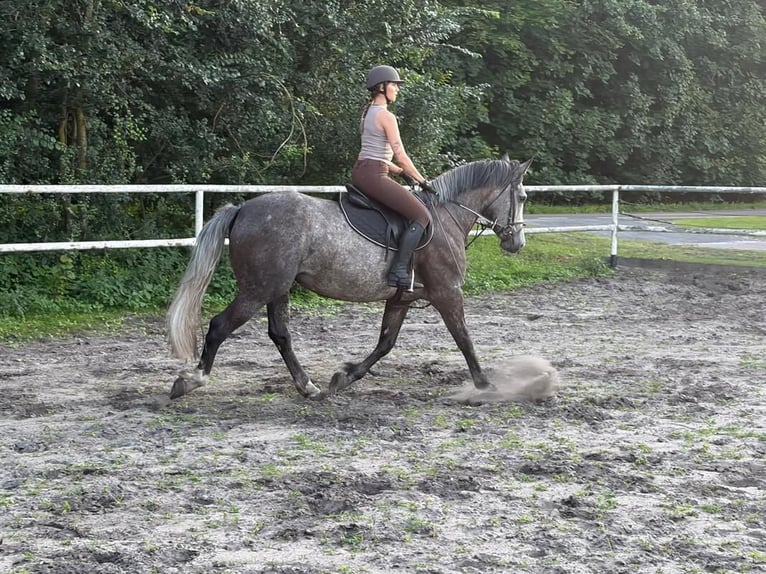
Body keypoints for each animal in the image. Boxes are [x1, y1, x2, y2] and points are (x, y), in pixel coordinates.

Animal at [166, 154, 532, 400]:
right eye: (523, 197)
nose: (517, 243)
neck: (445, 217)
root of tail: (242, 209)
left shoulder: (402, 298)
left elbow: (385, 343)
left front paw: (345, 377)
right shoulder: (447, 292)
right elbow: (464, 338)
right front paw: (485, 384)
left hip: (277, 288)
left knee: (280, 334)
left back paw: (308, 386)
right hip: (258, 289)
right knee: (219, 326)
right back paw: (192, 380)